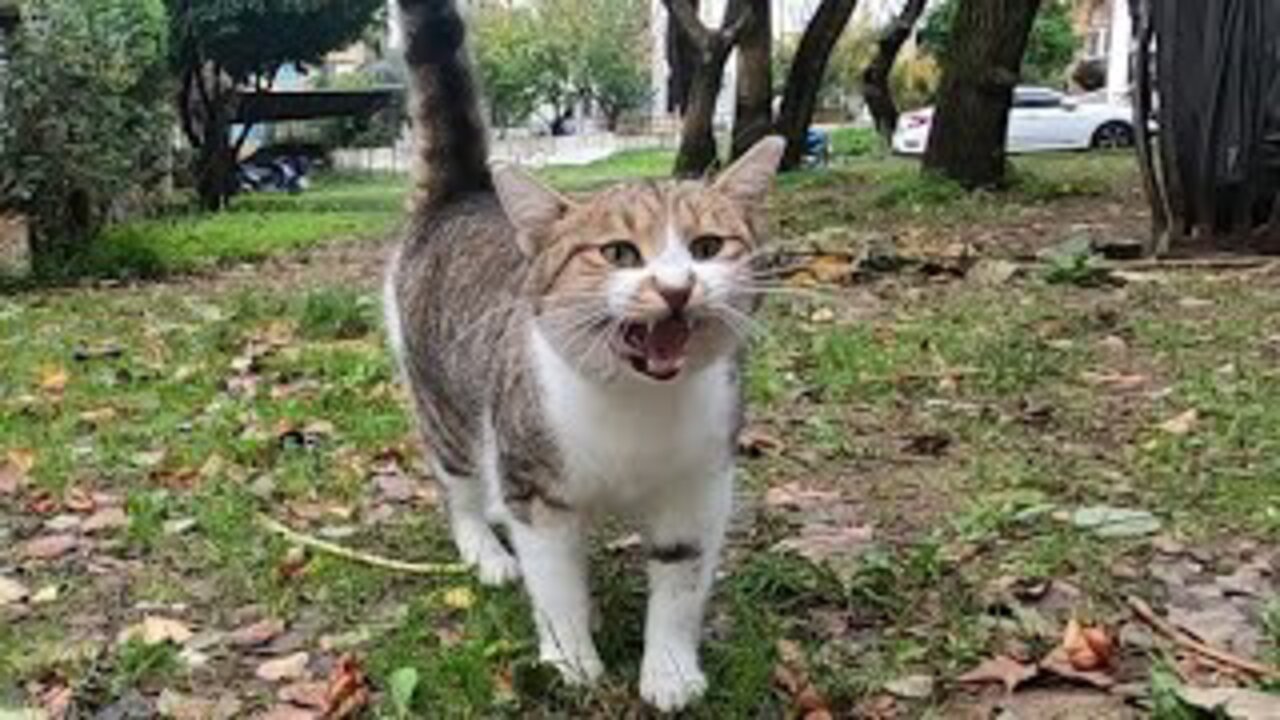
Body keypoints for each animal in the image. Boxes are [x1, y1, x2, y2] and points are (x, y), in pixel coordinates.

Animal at [378, 0, 783, 707]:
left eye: (707, 247)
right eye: (619, 253)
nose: (675, 288)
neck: (636, 404)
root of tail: (463, 193)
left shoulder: (697, 486)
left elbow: (679, 585)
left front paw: (670, 671)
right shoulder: (538, 491)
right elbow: (556, 582)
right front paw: (572, 658)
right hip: (443, 401)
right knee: (459, 485)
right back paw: (486, 550)